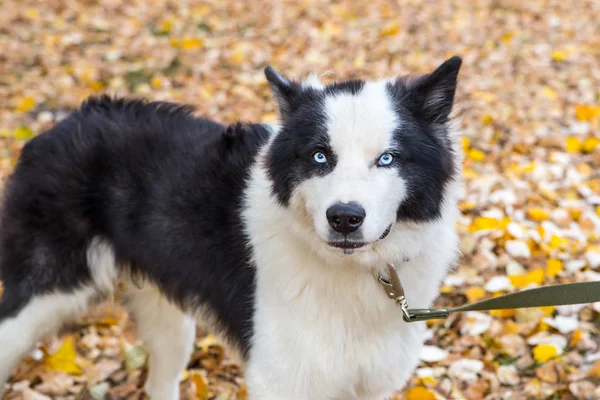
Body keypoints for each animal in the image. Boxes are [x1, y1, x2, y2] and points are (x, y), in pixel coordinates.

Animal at [0, 56, 464, 400]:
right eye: (319, 156)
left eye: (387, 158)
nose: (345, 217)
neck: (358, 274)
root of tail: (64, 120)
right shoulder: (280, 382)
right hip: (41, 298)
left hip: (169, 321)